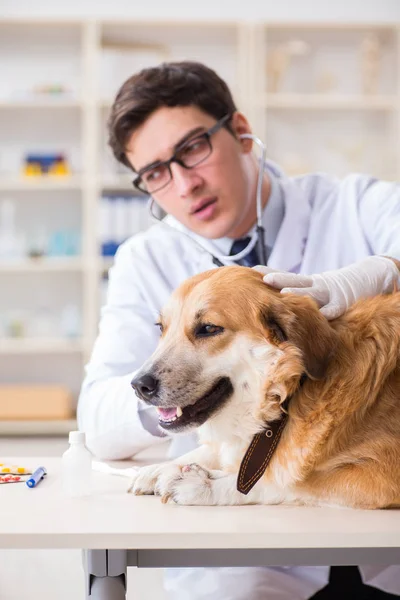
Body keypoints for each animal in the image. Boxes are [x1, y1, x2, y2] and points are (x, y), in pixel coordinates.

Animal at [130, 266, 398, 506]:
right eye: (161, 328)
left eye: (208, 328)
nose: (139, 385)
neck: (286, 397)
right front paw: (159, 468)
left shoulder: (381, 473)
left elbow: (284, 482)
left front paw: (203, 484)